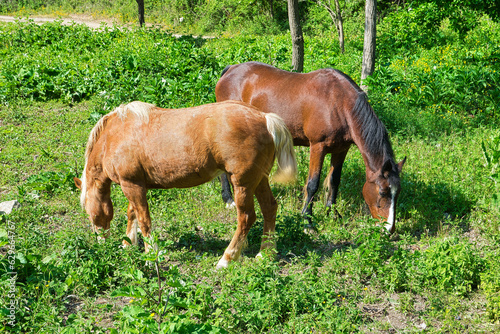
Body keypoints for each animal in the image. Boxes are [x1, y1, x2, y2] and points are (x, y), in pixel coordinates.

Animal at [74, 100, 296, 268]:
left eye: (91, 213)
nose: (101, 243)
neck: (114, 136)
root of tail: (265, 118)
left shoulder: (132, 185)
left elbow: (144, 220)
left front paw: (150, 257)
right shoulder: (135, 185)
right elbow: (133, 214)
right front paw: (128, 244)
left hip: (242, 183)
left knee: (247, 217)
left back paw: (227, 259)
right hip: (259, 180)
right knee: (269, 208)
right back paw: (265, 253)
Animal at [216, 61, 406, 234]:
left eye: (397, 193)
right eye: (382, 192)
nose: (389, 229)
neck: (339, 103)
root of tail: (230, 70)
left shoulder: (341, 150)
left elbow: (334, 181)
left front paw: (333, 214)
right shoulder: (317, 147)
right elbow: (312, 184)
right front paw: (307, 221)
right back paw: (229, 199)